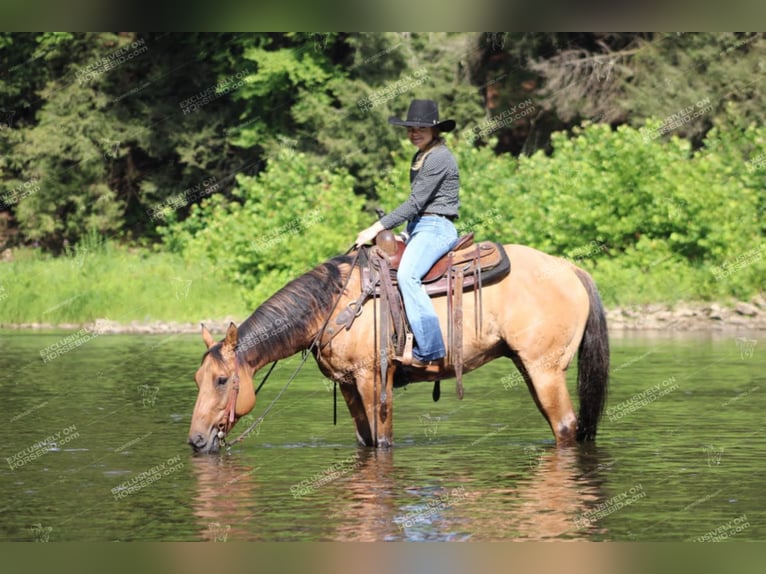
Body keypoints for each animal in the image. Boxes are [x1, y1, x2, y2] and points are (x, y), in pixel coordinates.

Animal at [189, 238, 608, 454]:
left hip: (545, 369)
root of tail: (570, 268)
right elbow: (365, 440)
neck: (334, 303)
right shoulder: (348, 384)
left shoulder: (374, 379)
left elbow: (382, 441)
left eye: (223, 380)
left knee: (566, 427)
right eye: (197, 379)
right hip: (530, 367)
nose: (195, 440)